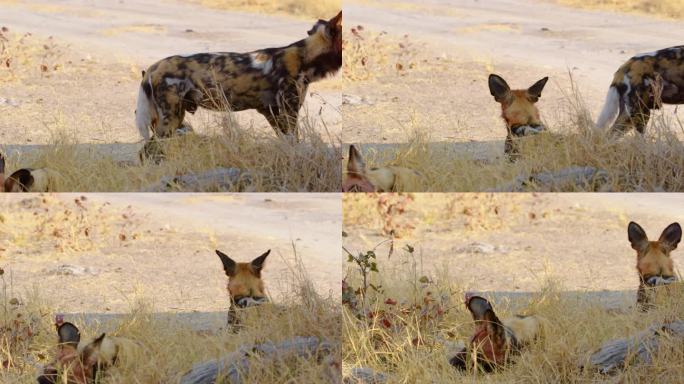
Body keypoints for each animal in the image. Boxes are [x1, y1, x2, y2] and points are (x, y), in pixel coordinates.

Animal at [135, 12, 342, 142]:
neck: (305, 57)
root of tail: (153, 68)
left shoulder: (273, 114)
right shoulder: (288, 112)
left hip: (173, 119)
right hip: (170, 120)